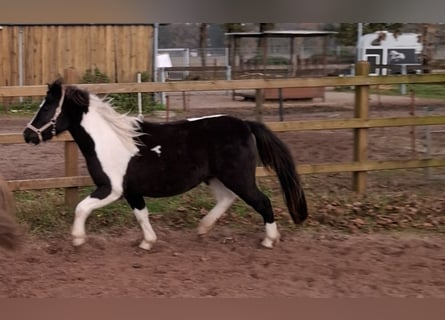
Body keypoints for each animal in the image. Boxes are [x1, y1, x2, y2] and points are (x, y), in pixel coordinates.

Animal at [23, 79, 306, 250]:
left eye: (46, 108)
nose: (27, 135)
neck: (109, 140)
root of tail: (246, 124)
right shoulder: (132, 191)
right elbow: (141, 215)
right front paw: (147, 242)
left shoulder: (111, 189)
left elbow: (81, 208)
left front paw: (77, 239)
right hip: (215, 177)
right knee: (227, 199)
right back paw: (202, 229)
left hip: (239, 177)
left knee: (262, 201)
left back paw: (269, 240)